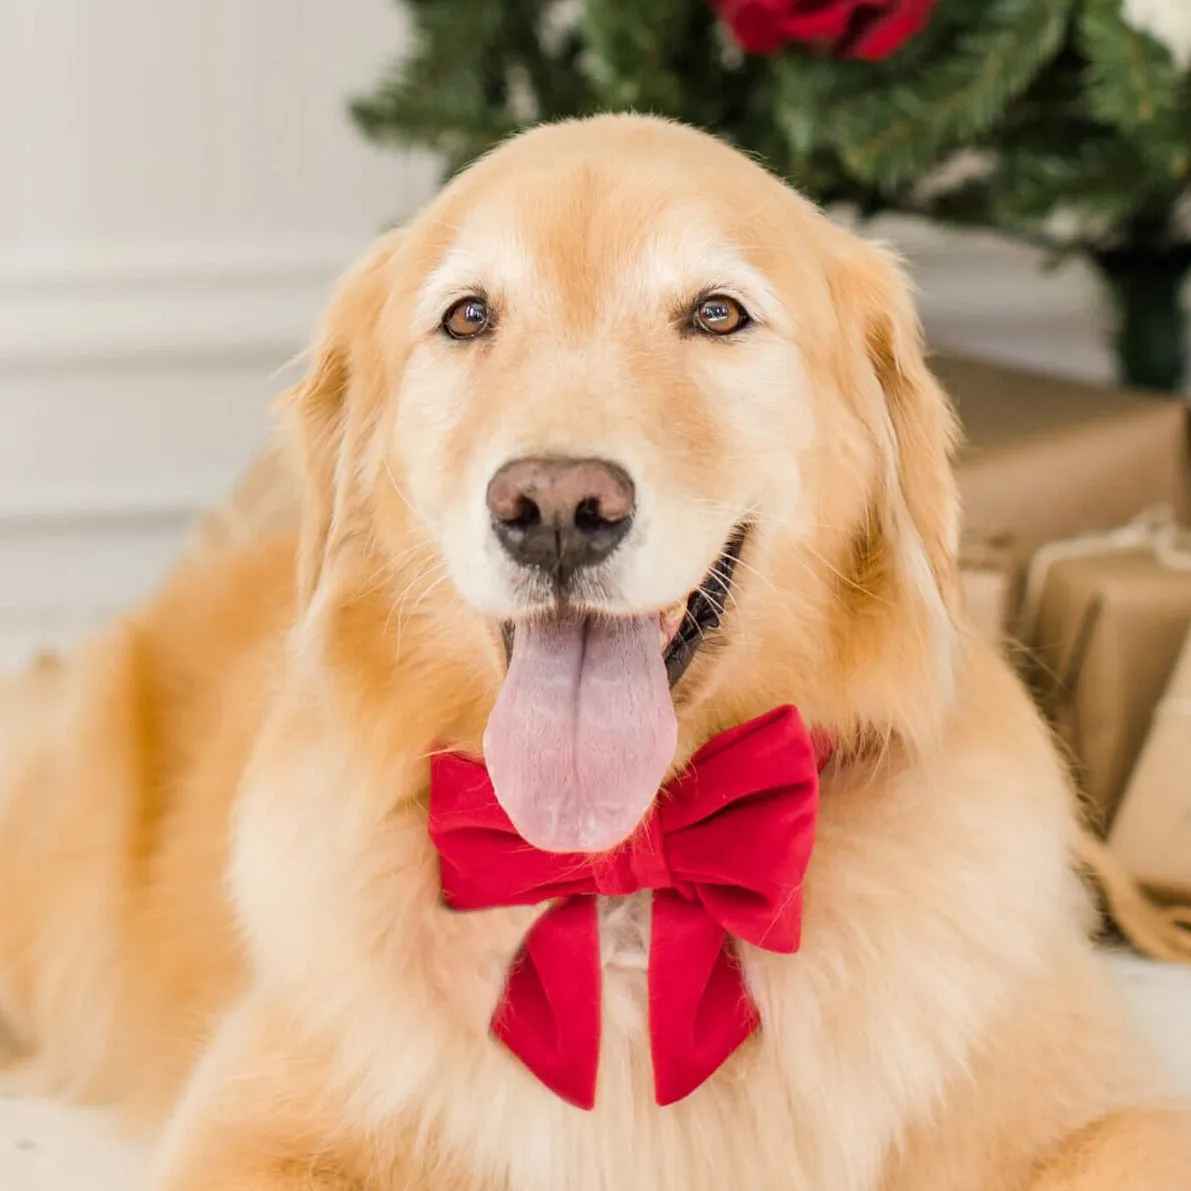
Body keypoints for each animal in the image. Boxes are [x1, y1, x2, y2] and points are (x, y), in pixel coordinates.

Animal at [2, 118, 1191, 1181]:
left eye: (716, 313)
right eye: (467, 316)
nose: (557, 508)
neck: (626, 865)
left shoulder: (1109, 1109)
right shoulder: (253, 1128)